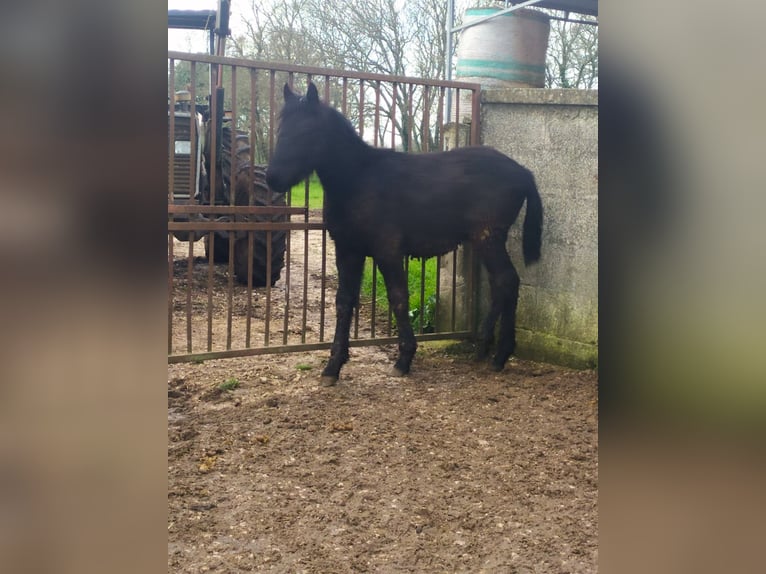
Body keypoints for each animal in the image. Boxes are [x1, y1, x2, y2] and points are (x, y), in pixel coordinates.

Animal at [266, 82, 543, 385]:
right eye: (280, 129)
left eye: (306, 131)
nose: (272, 178)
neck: (358, 180)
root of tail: (524, 172)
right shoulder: (348, 250)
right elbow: (344, 302)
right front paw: (333, 367)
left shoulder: (387, 251)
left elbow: (398, 298)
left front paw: (404, 359)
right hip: (483, 241)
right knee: (500, 283)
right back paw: (484, 348)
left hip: (488, 237)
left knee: (507, 280)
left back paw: (500, 354)